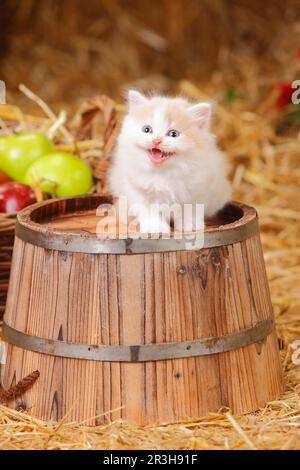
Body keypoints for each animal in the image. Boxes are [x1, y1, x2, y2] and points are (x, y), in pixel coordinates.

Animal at [108, 90, 232, 233]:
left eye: (173, 134)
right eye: (147, 130)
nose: (156, 140)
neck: (163, 172)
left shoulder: (197, 191)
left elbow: (190, 210)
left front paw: (190, 226)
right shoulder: (138, 191)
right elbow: (150, 211)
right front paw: (155, 228)